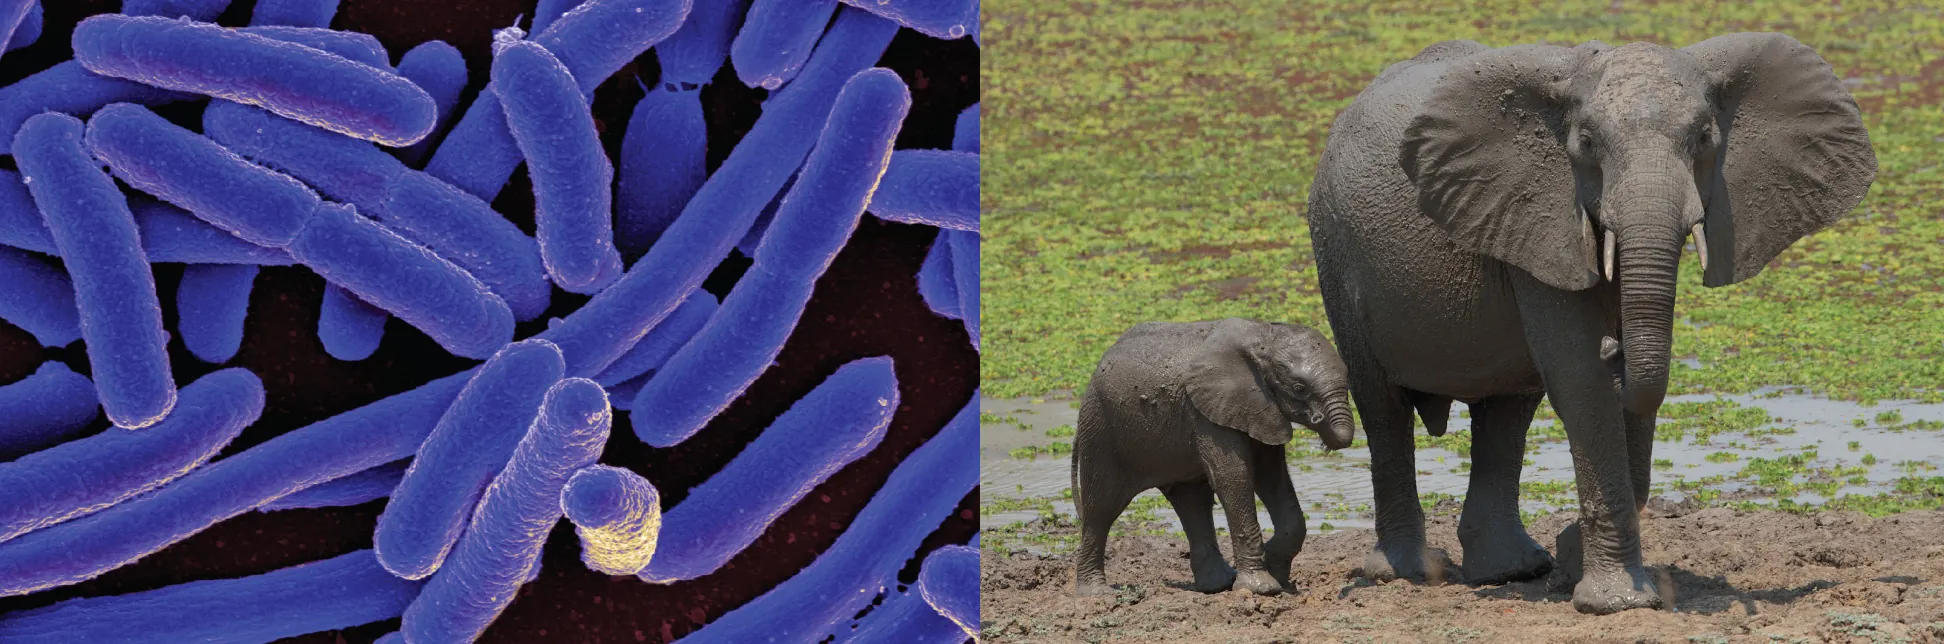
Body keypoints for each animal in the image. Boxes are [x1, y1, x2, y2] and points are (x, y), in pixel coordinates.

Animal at [1070, 318, 1357, 597]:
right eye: (1299, 388)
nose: (1325, 433)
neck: (1264, 336)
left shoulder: (1260, 409)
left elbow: (1271, 477)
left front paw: (1276, 569)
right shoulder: (1209, 411)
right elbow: (1234, 478)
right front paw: (1262, 588)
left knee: (1193, 503)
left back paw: (1216, 585)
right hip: (1100, 428)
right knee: (1101, 509)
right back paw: (1096, 593)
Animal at [1304, 33, 1875, 614]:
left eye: (1704, 139)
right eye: (1586, 143)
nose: (1614, 348)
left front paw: (1577, 560)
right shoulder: (1538, 213)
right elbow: (1578, 377)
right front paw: (1617, 602)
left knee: (1506, 415)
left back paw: (1514, 570)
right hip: (1334, 249)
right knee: (1384, 407)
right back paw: (1407, 573)